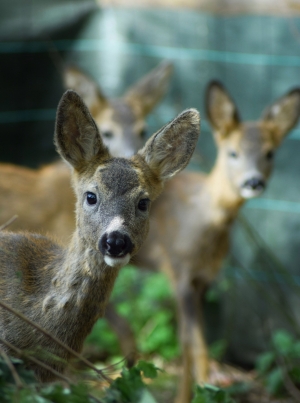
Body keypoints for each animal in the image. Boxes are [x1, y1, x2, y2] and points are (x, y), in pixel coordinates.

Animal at [134, 81, 300, 403]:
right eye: (232, 152)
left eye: (270, 153)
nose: (253, 182)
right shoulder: (178, 270)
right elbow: (194, 345)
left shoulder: (203, 278)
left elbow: (191, 346)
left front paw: (188, 395)